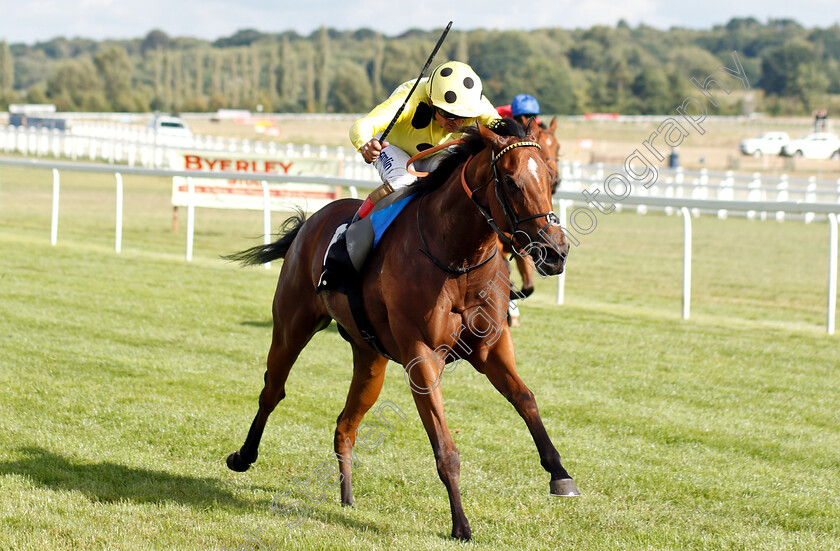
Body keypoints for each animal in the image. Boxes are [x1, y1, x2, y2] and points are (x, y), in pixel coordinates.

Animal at [223, 119, 576, 540]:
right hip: (292, 326)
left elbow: (526, 399)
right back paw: (243, 456)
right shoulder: (422, 355)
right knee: (272, 391)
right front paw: (461, 524)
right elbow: (444, 445)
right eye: (510, 181)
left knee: (345, 425)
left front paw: (560, 474)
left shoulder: (491, 347)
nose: (555, 252)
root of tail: (311, 221)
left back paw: (347, 497)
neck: (459, 257)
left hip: (369, 357)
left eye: (551, 176)